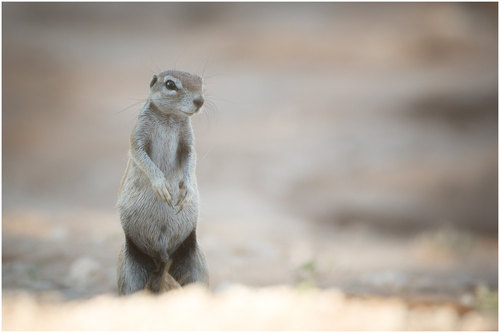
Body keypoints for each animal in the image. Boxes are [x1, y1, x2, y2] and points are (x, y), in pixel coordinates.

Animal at [117, 69, 209, 294]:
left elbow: (191, 157)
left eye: (201, 82)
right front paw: (161, 186)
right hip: (131, 269)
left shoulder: (188, 141)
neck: (169, 117)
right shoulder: (138, 135)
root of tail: (162, 259)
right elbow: (141, 156)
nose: (200, 100)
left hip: (193, 261)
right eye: (170, 84)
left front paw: (186, 191)